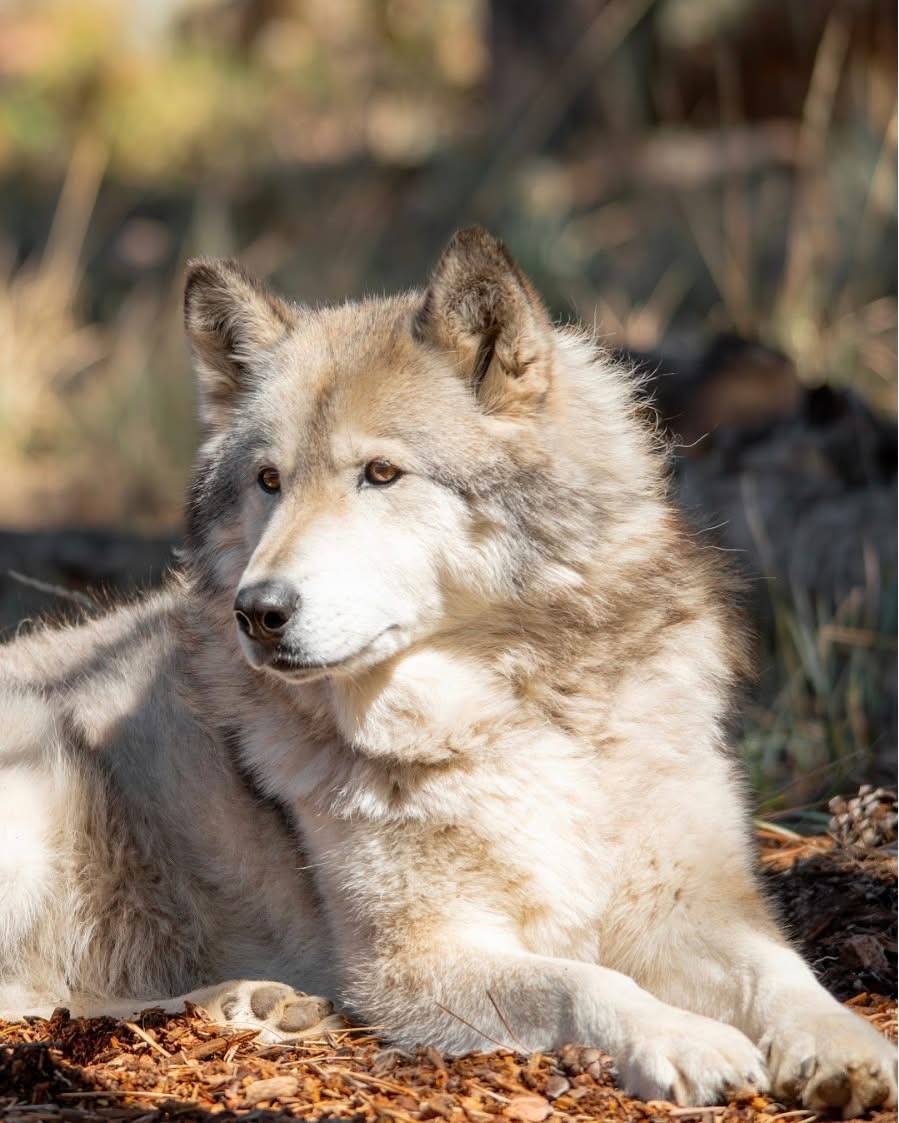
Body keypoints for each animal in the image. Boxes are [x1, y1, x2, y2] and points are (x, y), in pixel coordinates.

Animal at [0, 227, 895, 1116]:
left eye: (380, 474)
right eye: (268, 481)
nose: (257, 611)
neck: (513, 715)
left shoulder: (693, 906)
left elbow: (787, 973)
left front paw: (847, 1048)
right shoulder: (412, 960)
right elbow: (587, 983)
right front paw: (683, 1039)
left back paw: (249, 1004)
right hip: (35, 789)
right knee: (31, 1005)